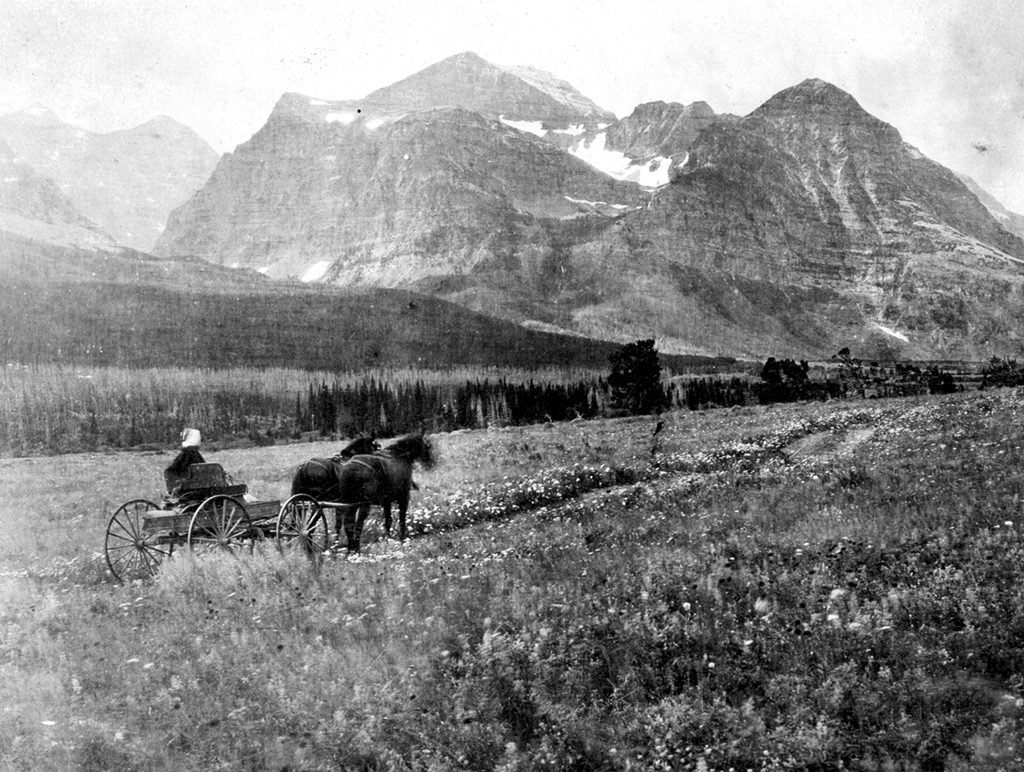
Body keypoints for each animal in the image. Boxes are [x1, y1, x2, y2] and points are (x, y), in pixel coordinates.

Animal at [290, 430, 434, 548]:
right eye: (426, 446)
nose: (430, 462)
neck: (400, 457)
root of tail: (305, 466)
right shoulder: (403, 497)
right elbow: (401, 519)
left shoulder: (345, 505)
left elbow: (340, 525)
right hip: (321, 504)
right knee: (312, 525)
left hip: (302, 502)